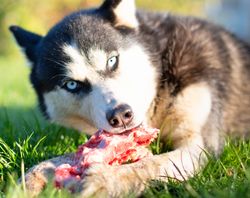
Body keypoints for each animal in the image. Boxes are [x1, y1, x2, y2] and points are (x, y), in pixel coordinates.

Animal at [8, 0, 250, 196]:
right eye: (72, 84)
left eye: (112, 61)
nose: (121, 116)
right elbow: (60, 159)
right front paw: (28, 180)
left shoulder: (199, 146)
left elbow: (151, 164)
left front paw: (105, 181)